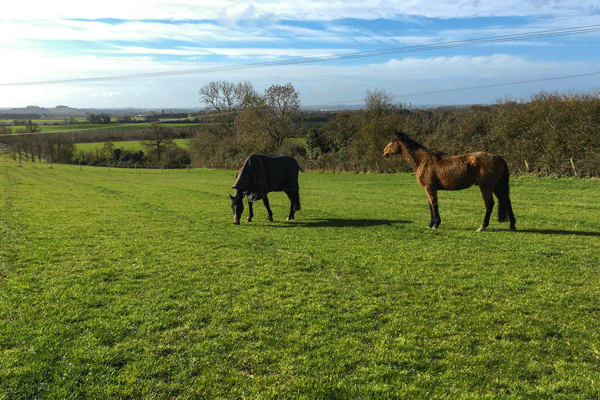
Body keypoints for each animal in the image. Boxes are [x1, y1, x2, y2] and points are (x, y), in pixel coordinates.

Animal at [384, 130, 516, 231]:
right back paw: (512, 226)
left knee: (489, 204)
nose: (384, 152)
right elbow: (430, 205)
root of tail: (498, 157)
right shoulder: (430, 189)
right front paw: (431, 224)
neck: (424, 160)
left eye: (392, 140)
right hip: (496, 187)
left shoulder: (430, 188)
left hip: (486, 187)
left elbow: (434, 205)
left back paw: (482, 226)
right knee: (506, 201)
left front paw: (435, 224)